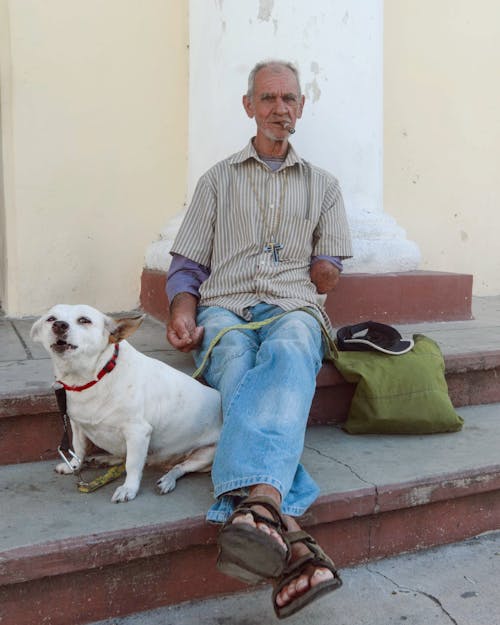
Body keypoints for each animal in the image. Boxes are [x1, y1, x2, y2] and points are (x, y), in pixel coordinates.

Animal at [29, 302, 221, 502]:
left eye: (84, 320)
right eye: (50, 318)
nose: (59, 325)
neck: (92, 379)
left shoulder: (138, 432)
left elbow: (133, 465)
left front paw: (129, 488)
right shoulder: (77, 425)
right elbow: (79, 448)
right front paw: (73, 466)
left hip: (206, 455)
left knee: (180, 467)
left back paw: (168, 480)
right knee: (126, 456)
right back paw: (105, 459)